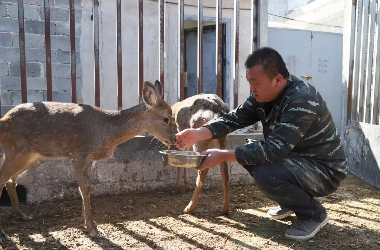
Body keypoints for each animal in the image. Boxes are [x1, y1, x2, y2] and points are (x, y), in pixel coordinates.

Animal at [0, 80, 177, 240]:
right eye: (166, 118)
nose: (174, 139)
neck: (107, 131)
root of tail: (3, 121)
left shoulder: (90, 158)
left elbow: (87, 188)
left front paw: (86, 221)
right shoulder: (79, 153)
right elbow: (84, 189)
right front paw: (93, 229)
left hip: (30, 155)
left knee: (10, 180)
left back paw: (23, 215)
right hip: (16, 149)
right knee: (3, 178)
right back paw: (4, 234)